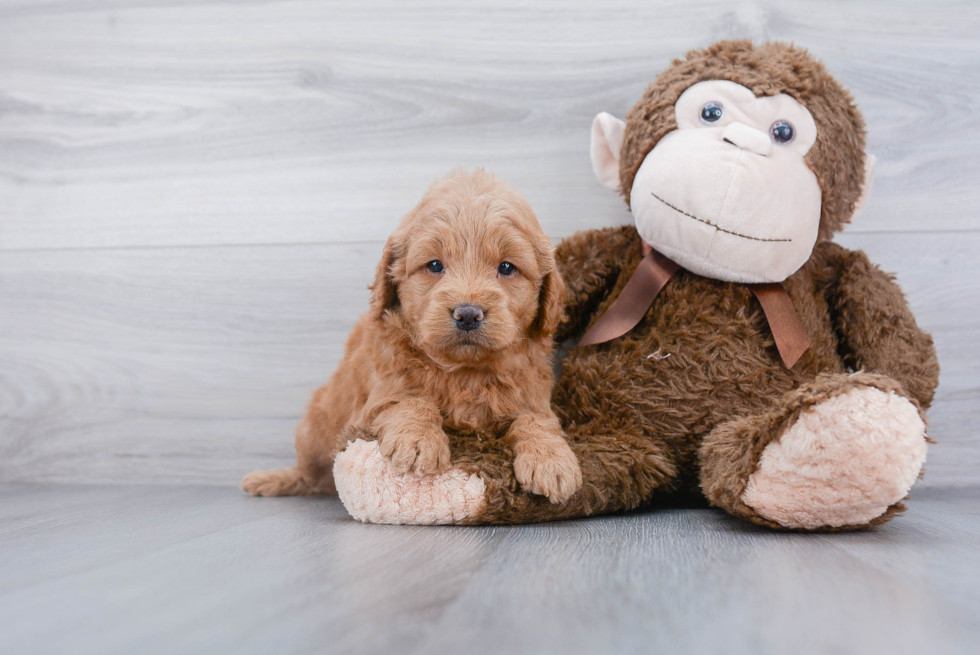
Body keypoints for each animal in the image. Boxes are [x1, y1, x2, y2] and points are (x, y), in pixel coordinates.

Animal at [242, 169, 580, 502]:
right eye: (435, 265)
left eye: (507, 267)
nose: (468, 314)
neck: (464, 371)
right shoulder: (372, 403)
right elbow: (408, 400)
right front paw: (418, 441)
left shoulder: (532, 395)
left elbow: (536, 420)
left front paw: (552, 461)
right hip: (313, 432)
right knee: (311, 475)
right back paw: (274, 479)